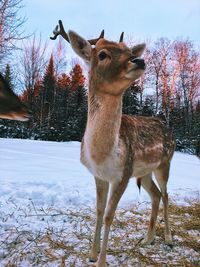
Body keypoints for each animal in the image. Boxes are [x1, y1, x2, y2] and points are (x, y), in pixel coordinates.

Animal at [51, 21, 175, 267]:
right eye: (102, 54)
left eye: (128, 51)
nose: (139, 60)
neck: (102, 155)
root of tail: (168, 129)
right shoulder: (99, 175)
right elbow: (99, 211)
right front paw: (91, 254)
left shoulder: (123, 174)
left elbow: (109, 215)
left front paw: (101, 260)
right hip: (144, 172)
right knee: (156, 195)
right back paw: (148, 238)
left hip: (164, 162)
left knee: (166, 195)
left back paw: (167, 239)